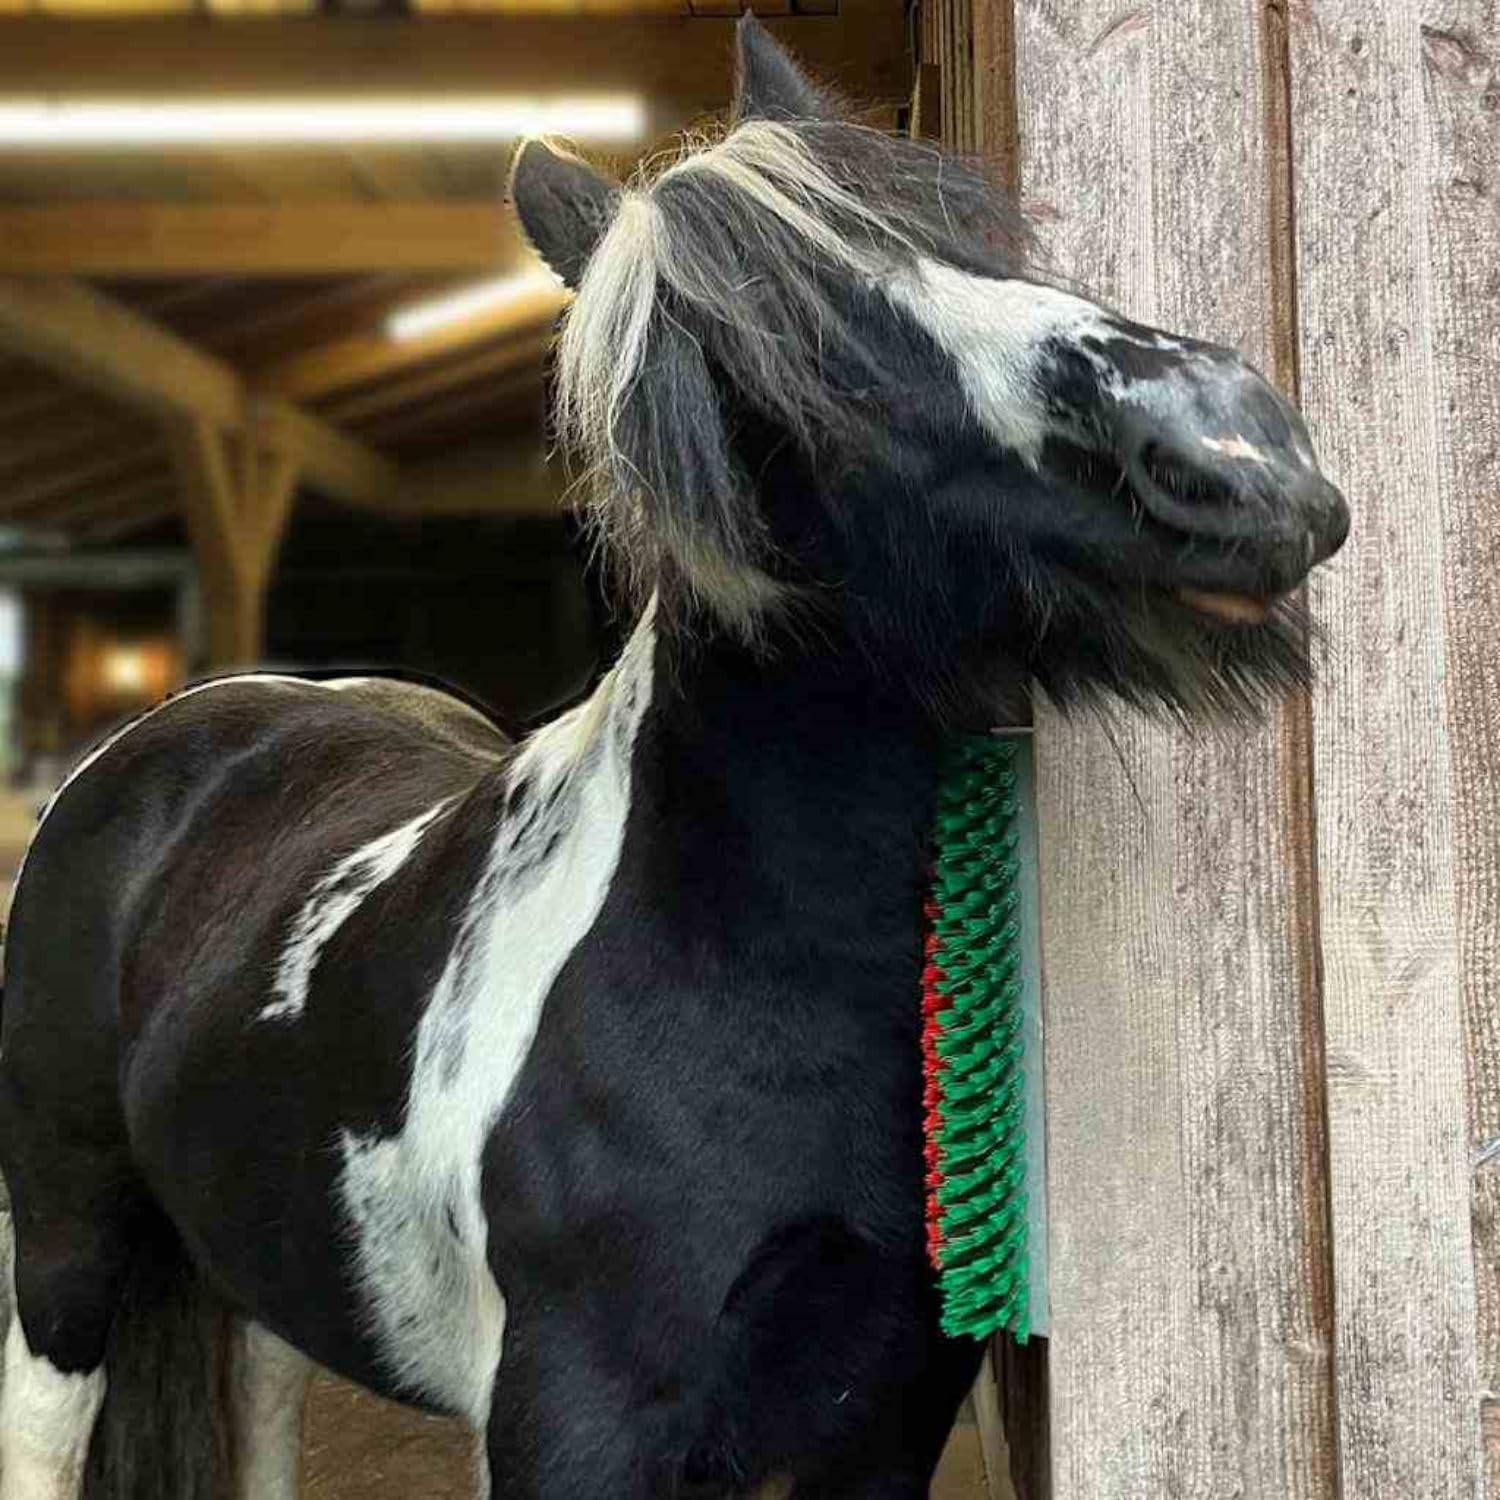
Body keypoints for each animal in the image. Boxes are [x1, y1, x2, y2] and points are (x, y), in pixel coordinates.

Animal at [0, 18, 1349, 1499]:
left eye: (975, 238)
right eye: (763, 353)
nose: (1234, 451)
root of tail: (184, 728)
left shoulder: (890, 1406)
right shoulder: (574, 1427)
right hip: (62, 1254)